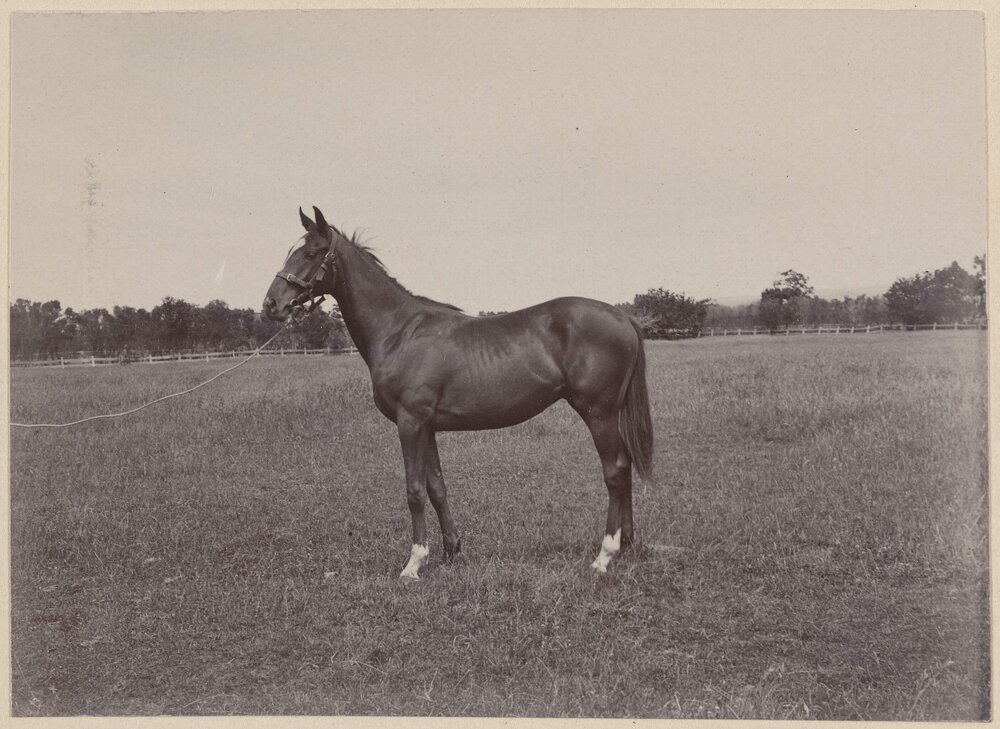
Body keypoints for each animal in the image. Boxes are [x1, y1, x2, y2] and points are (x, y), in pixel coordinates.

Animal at [263, 207, 653, 579]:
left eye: (311, 252)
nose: (271, 305)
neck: (399, 331)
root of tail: (622, 317)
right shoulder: (428, 427)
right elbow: (437, 487)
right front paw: (451, 551)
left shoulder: (410, 423)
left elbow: (414, 490)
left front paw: (413, 564)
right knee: (625, 470)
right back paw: (627, 545)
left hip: (599, 413)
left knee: (615, 472)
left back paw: (605, 555)